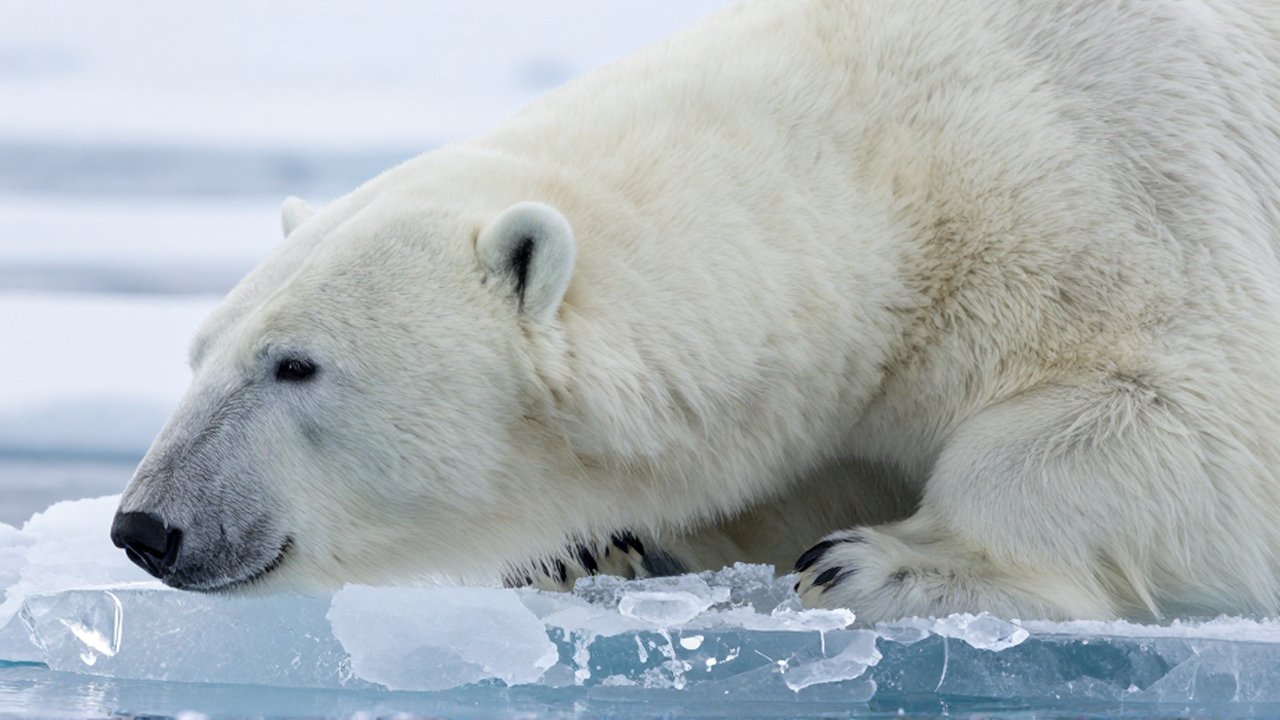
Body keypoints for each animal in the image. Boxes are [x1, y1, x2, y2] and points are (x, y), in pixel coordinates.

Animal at [111, 0, 1280, 625]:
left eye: (294, 364)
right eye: (201, 352)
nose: (147, 527)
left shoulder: (1129, 195)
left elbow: (1190, 425)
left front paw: (876, 562)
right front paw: (589, 548)